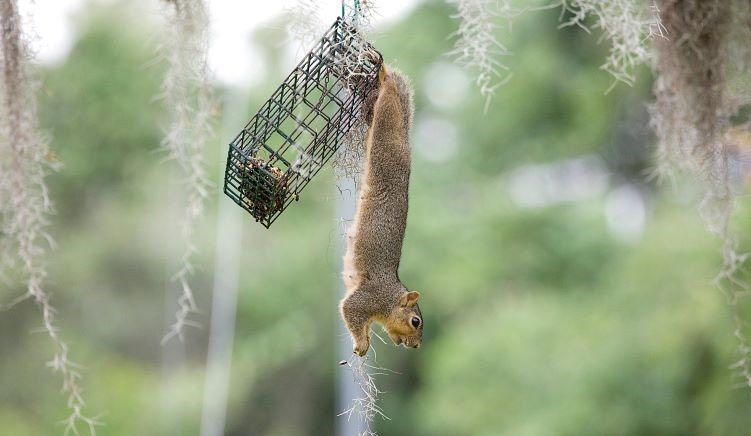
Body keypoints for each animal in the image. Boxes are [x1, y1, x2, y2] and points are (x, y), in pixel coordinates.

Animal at [340, 65, 424, 358]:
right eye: (415, 321)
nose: (417, 346)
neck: (389, 297)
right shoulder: (368, 297)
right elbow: (349, 310)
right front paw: (361, 345)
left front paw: (364, 340)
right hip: (386, 146)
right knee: (387, 105)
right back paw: (383, 74)